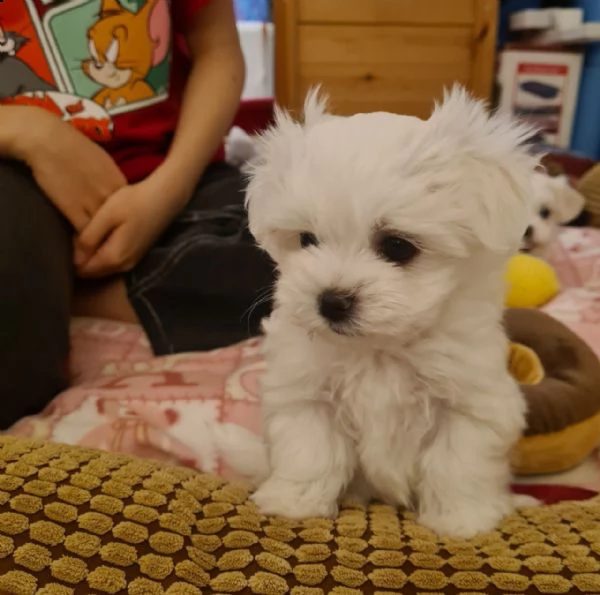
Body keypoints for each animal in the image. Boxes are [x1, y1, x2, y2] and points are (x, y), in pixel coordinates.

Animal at [230, 86, 540, 536]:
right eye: (306, 240)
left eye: (397, 246)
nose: (331, 301)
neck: (379, 348)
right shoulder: (306, 393)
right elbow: (309, 449)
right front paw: (294, 502)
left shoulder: (471, 401)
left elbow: (457, 461)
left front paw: (462, 520)